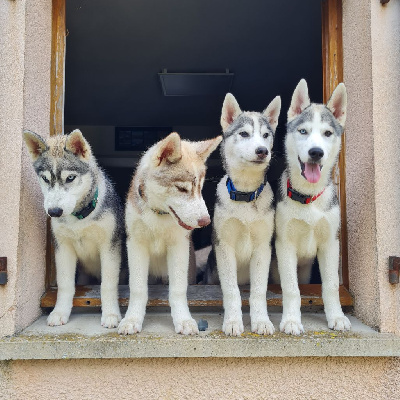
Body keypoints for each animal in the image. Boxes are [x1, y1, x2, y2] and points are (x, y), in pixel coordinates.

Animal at [23, 130, 122, 326]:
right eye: (45, 179)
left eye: (70, 178)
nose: (54, 211)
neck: (80, 218)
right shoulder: (63, 248)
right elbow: (65, 284)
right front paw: (60, 312)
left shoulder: (110, 246)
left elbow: (108, 284)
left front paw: (110, 314)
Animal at [117, 131, 223, 334]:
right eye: (182, 188)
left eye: (200, 187)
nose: (205, 221)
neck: (159, 215)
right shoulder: (136, 245)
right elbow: (137, 288)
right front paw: (132, 319)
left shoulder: (179, 247)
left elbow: (178, 289)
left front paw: (183, 319)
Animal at [214, 94, 280, 334]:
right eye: (244, 134)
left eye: (266, 135)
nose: (263, 150)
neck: (245, 194)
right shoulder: (223, 246)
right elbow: (231, 290)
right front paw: (233, 321)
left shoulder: (263, 248)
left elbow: (258, 290)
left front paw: (261, 321)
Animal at [276, 78, 350, 334]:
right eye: (303, 131)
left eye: (327, 133)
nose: (315, 152)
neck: (308, 197)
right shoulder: (284, 245)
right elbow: (291, 289)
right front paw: (291, 320)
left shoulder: (330, 244)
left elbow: (331, 286)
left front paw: (336, 317)